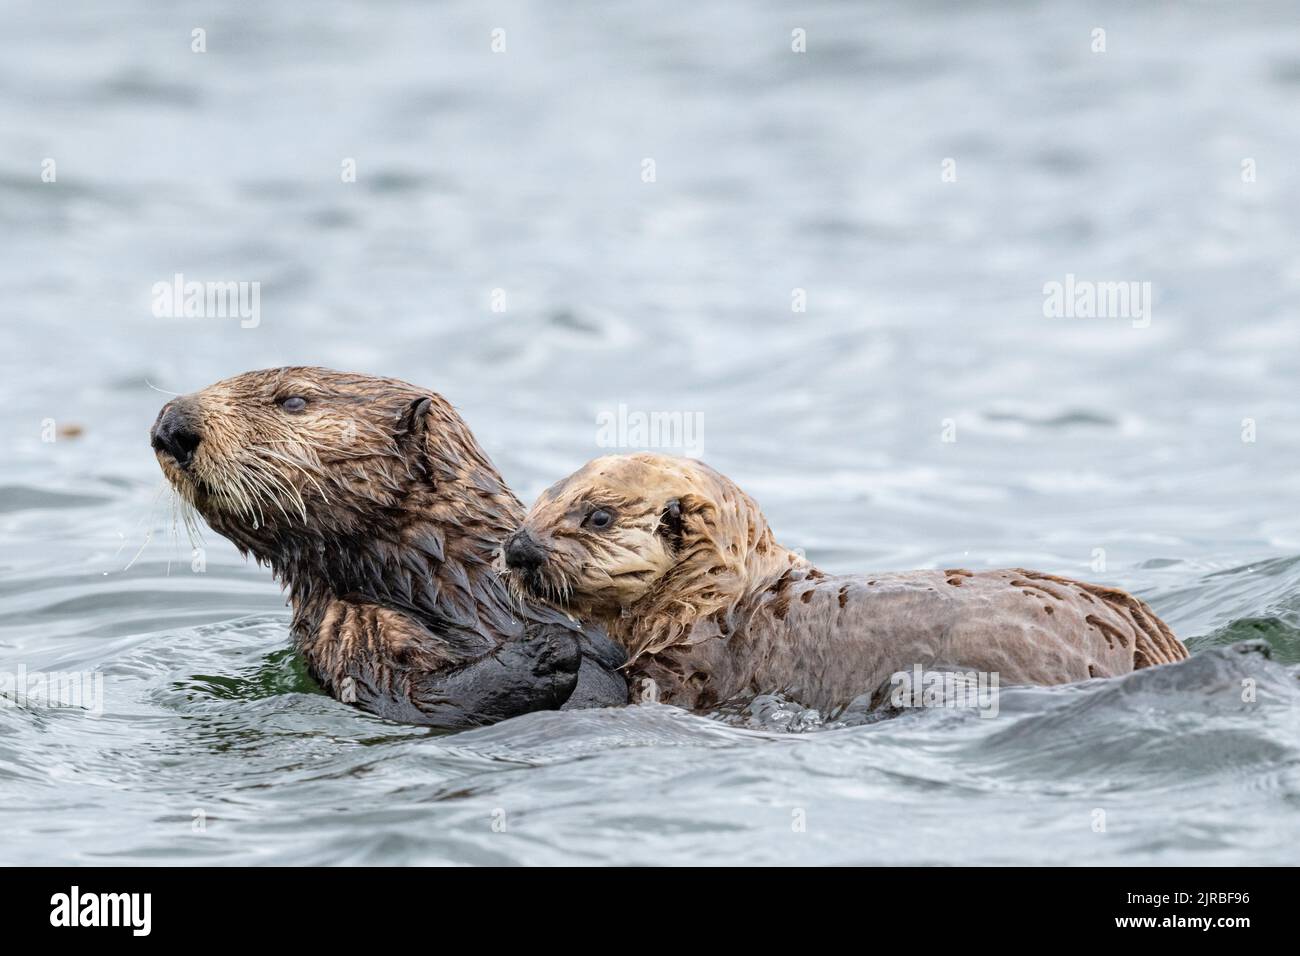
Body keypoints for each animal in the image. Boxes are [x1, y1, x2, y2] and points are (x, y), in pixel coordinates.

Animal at [150, 367, 627, 728]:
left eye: (294, 401)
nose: (170, 427)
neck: (460, 588)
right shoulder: (347, 632)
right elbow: (424, 697)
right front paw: (551, 647)